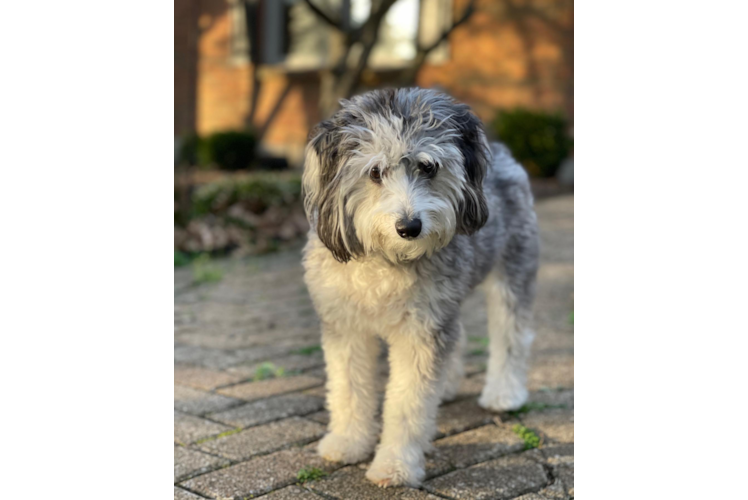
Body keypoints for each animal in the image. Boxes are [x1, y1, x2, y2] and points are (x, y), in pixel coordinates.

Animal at [300, 88, 540, 486]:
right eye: (375, 172)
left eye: (428, 167)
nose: (409, 227)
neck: (387, 260)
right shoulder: (345, 327)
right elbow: (349, 389)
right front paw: (348, 442)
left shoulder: (421, 331)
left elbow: (407, 402)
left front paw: (395, 464)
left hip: (513, 270)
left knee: (511, 334)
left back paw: (504, 393)